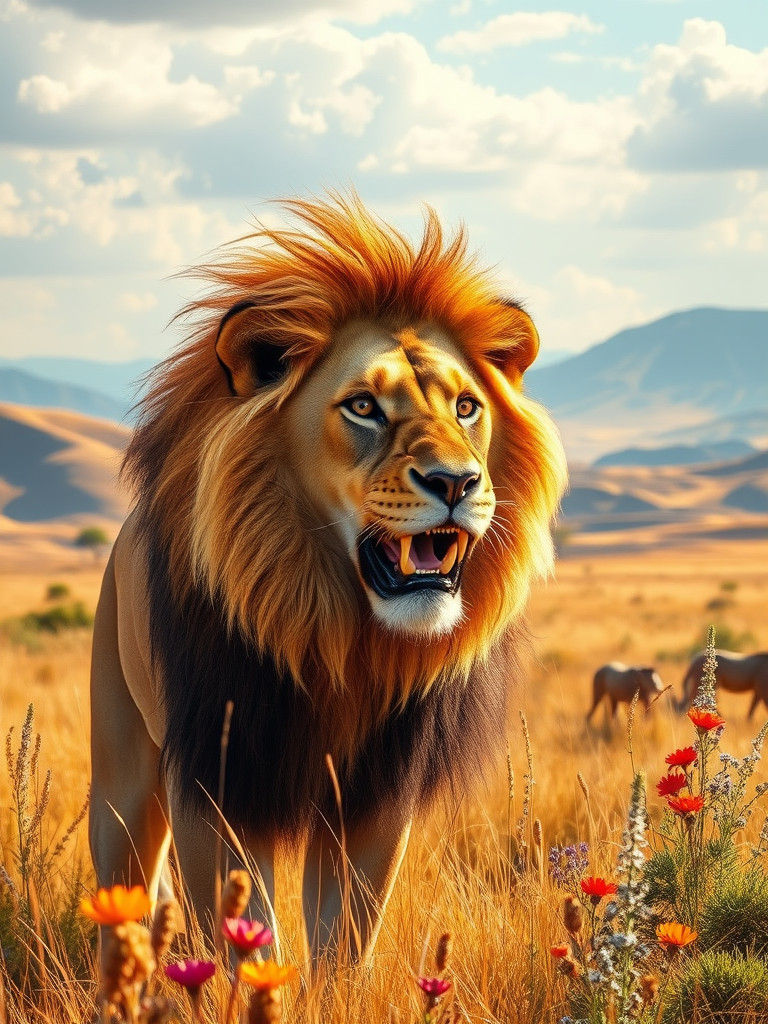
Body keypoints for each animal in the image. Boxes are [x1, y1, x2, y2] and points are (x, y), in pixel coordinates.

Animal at [89, 191, 567, 961]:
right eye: (364, 406)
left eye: (466, 406)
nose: (457, 482)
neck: (338, 640)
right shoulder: (216, 786)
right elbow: (246, 940)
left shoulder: (372, 803)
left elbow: (342, 943)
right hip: (123, 774)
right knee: (122, 895)